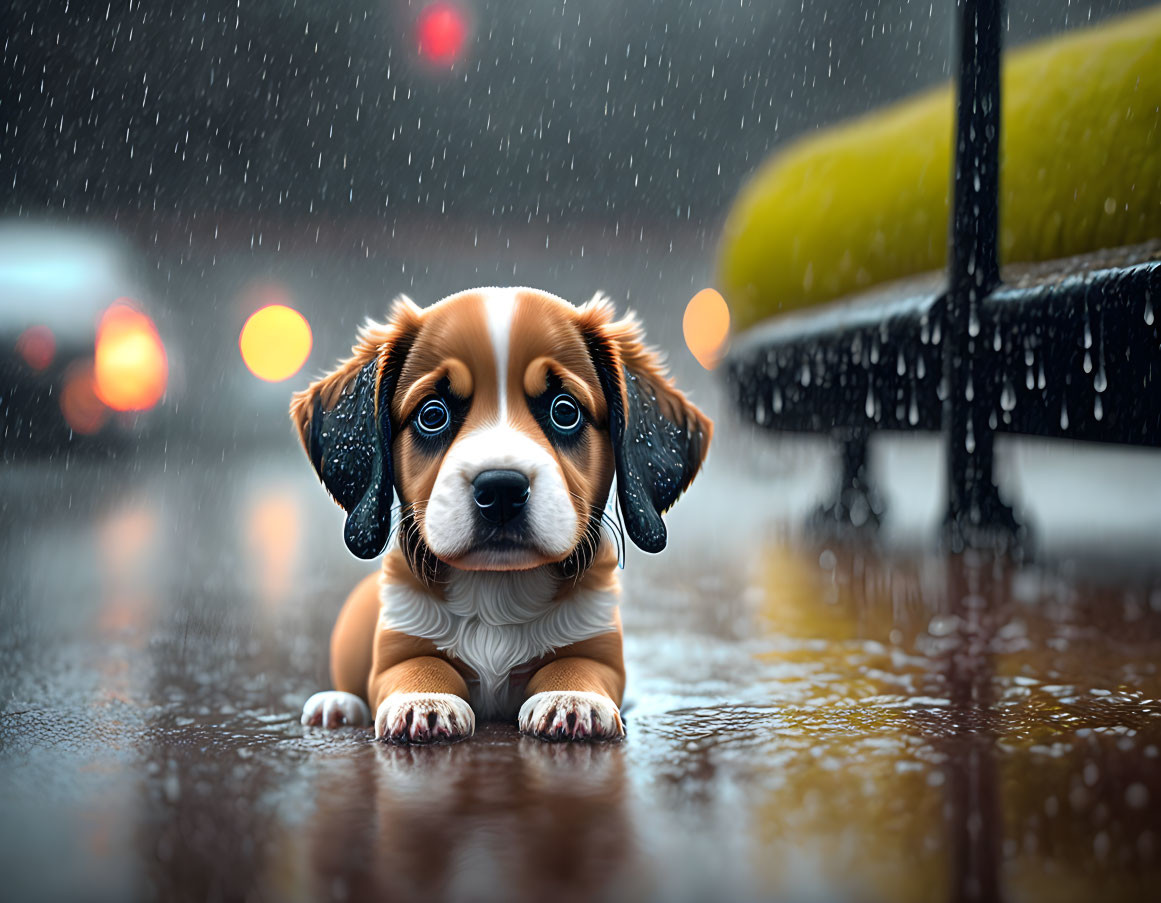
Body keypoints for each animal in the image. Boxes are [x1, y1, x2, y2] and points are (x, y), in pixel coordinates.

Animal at [292, 286, 705, 738]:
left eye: (565, 410)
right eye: (433, 414)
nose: (502, 490)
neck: (497, 591)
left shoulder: (598, 648)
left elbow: (576, 666)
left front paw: (572, 699)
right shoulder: (398, 645)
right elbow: (420, 665)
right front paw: (424, 701)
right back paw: (336, 704)